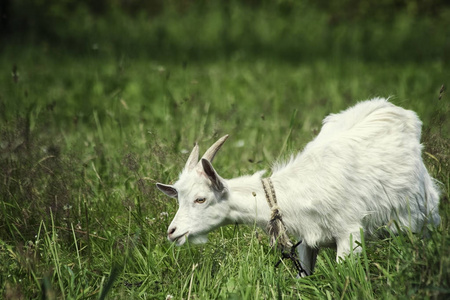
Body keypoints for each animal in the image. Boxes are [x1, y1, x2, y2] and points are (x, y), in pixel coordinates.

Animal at [156, 98, 442, 276]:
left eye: (201, 199)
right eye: (179, 199)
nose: (172, 232)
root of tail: (395, 108)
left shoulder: (350, 234)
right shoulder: (306, 241)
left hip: (424, 215)